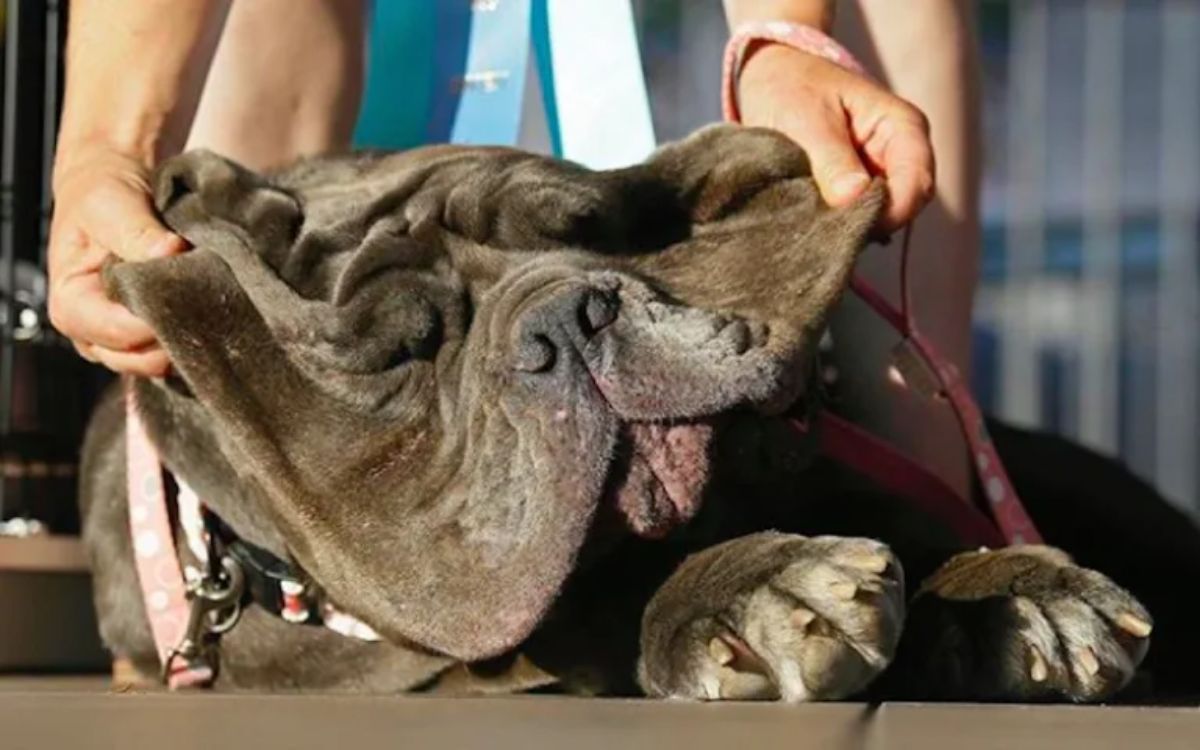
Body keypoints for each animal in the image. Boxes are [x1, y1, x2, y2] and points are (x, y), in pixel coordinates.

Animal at [77, 124, 1200, 700]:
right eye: (406, 347)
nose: (566, 319)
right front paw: (745, 595)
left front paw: (1011, 590)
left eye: (588, 230)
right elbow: (608, 610)